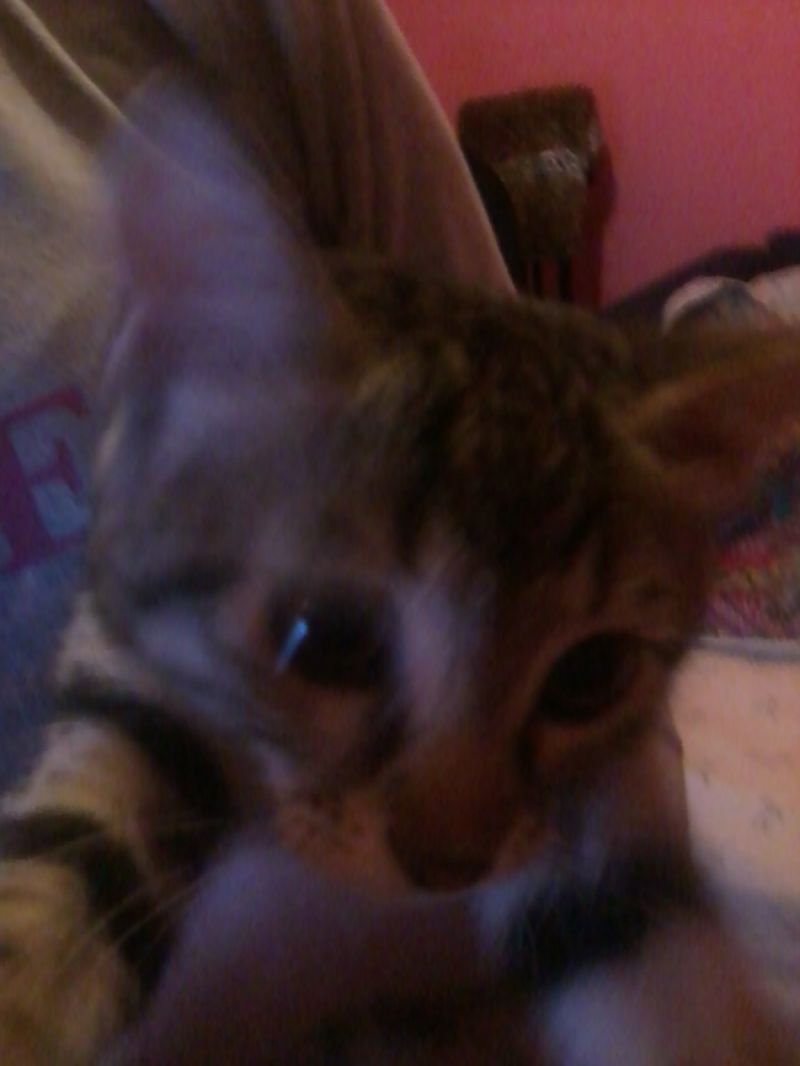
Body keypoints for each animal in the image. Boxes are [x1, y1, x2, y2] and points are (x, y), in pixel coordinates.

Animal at [0, 86, 798, 1064]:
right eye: (327, 639)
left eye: (589, 675)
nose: (447, 864)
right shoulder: (122, 657)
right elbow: (76, 835)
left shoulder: (618, 772)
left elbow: (634, 921)